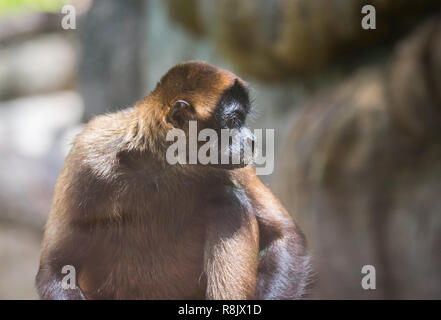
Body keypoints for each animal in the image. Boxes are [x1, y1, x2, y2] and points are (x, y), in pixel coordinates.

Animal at [36, 60, 312, 300]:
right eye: (234, 121)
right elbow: (55, 269)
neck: (165, 164)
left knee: (228, 197)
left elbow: (286, 236)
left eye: (242, 121)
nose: (252, 140)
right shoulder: (88, 156)